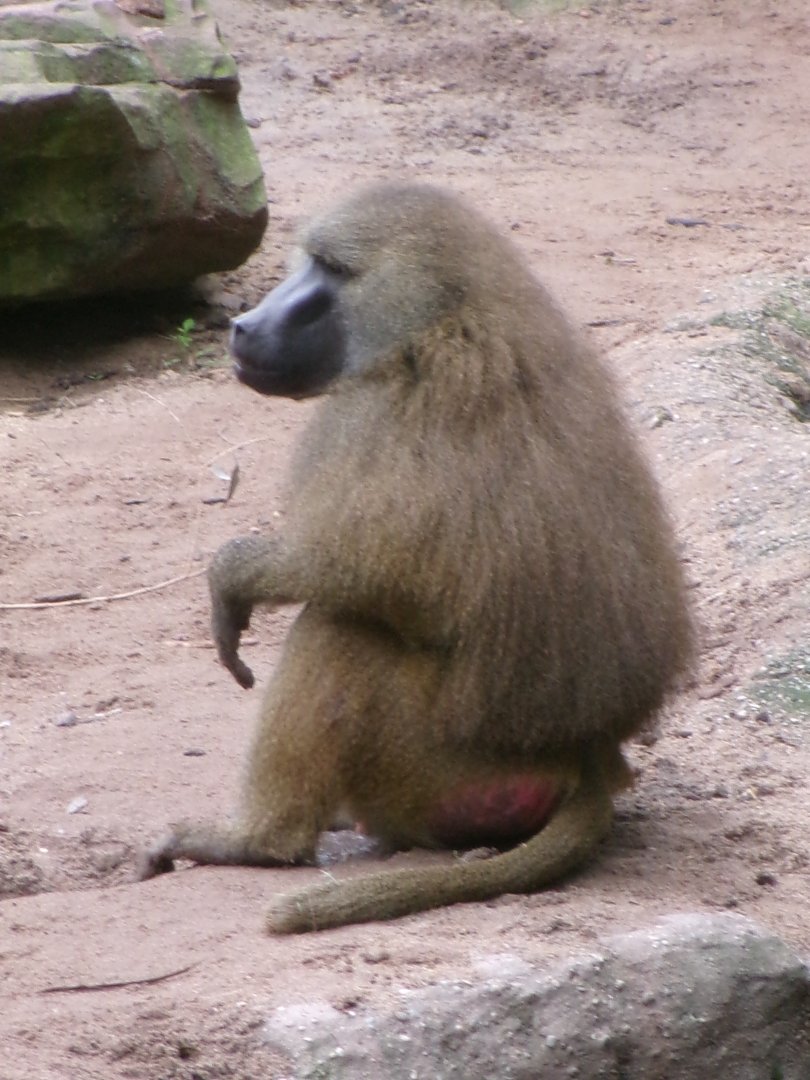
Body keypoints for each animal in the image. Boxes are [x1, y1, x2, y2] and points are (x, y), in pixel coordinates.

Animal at [139, 182, 694, 933]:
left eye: (332, 269)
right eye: (307, 262)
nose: (245, 327)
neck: (440, 318)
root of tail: (581, 758)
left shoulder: (370, 407)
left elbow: (366, 568)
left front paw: (232, 578)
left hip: (431, 764)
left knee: (338, 629)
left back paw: (255, 840)